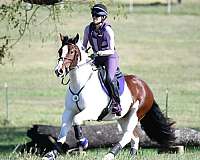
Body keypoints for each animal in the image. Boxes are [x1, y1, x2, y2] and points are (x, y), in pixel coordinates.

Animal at [42, 33, 175, 160]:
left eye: (71, 52)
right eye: (60, 51)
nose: (59, 71)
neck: (80, 83)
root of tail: (145, 86)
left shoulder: (93, 111)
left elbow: (77, 120)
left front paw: (83, 142)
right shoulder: (68, 112)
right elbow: (62, 134)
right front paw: (50, 155)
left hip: (135, 114)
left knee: (127, 136)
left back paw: (109, 155)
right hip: (123, 117)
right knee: (134, 137)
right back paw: (131, 155)